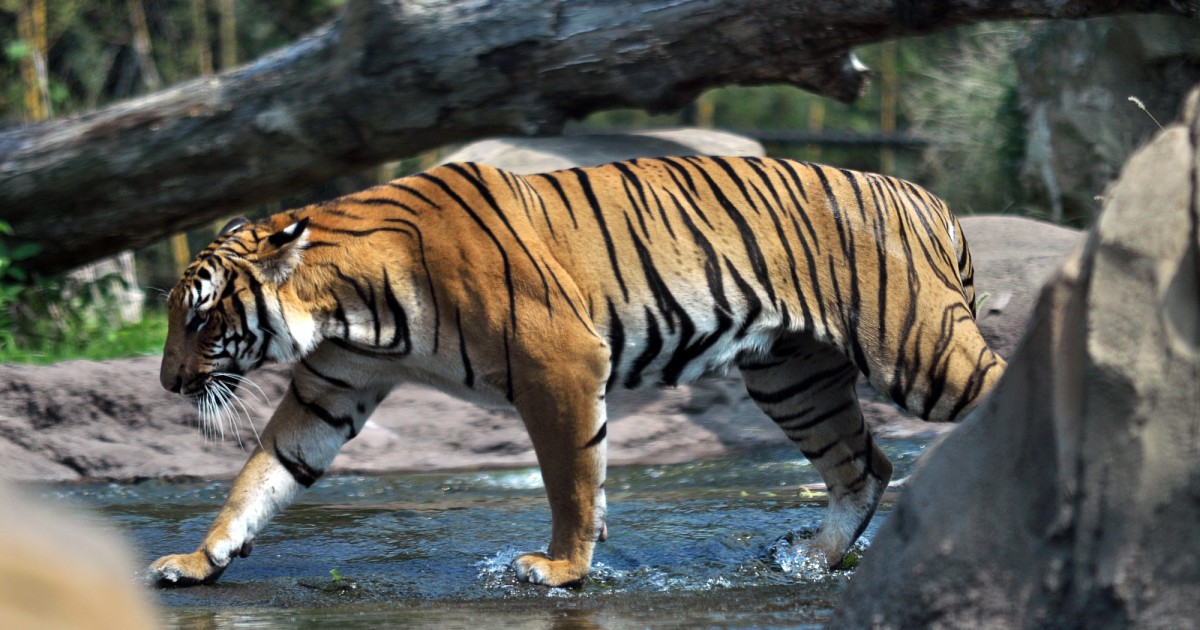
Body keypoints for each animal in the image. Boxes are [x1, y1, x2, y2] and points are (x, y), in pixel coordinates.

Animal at [154, 154, 1008, 588]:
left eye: (199, 319)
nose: (165, 383)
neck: (345, 304)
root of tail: (928, 196)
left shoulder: (557, 360)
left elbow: (571, 479)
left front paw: (560, 568)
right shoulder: (334, 386)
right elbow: (264, 475)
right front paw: (199, 559)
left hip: (916, 350)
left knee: (983, 397)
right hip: (791, 377)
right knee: (864, 465)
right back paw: (811, 560)